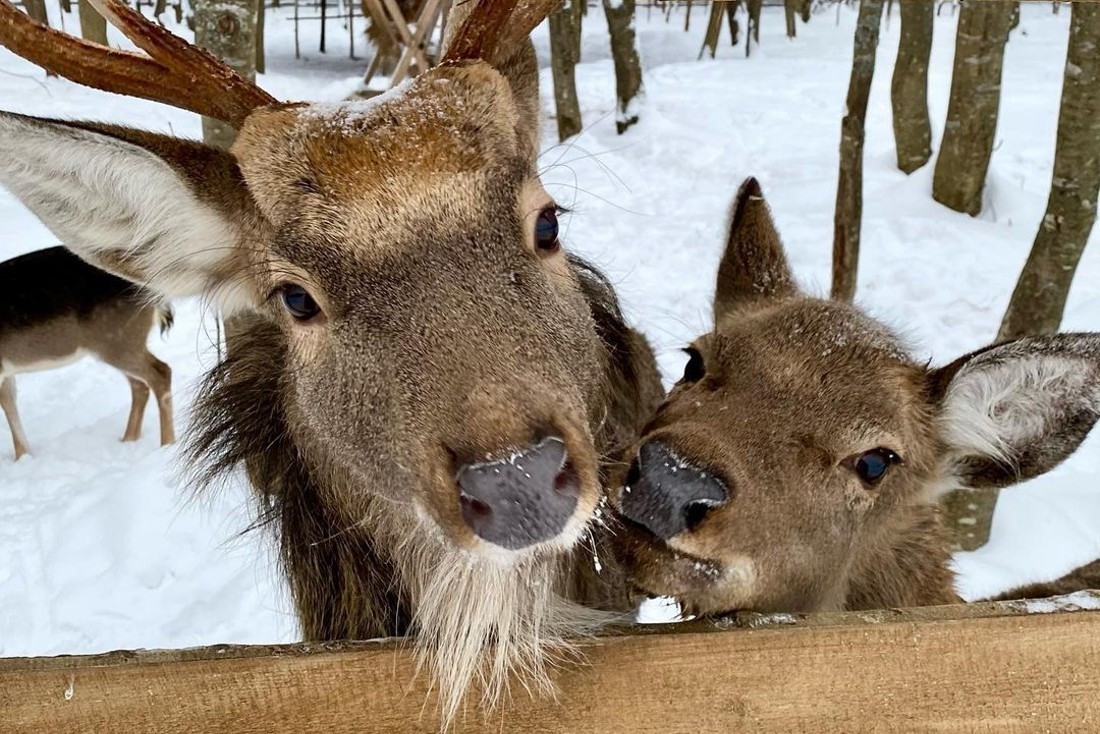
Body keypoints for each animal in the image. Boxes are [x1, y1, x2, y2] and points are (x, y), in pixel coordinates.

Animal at [0, 245, 173, 459]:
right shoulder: (6, 371)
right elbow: (9, 403)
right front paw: (23, 457)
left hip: (118, 340)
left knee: (161, 372)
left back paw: (167, 444)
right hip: (120, 342)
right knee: (140, 385)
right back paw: (128, 440)